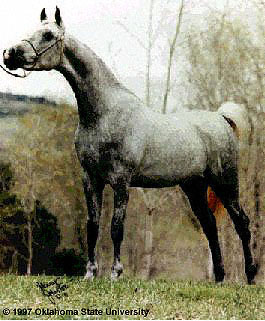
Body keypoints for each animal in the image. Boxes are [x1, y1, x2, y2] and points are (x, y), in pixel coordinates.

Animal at [3, 7, 256, 282]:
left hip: (225, 183)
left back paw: (250, 275)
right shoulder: (90, 178)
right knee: (210, 226)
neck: (104, 113)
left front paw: (115, 273)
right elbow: (93, 225)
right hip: (194, 187)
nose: (11, 54)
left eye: (48, 35)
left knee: (242, 222)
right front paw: (90, 273)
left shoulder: (121, 181)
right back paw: (219, 277)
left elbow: (116, 227)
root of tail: (221, 118)